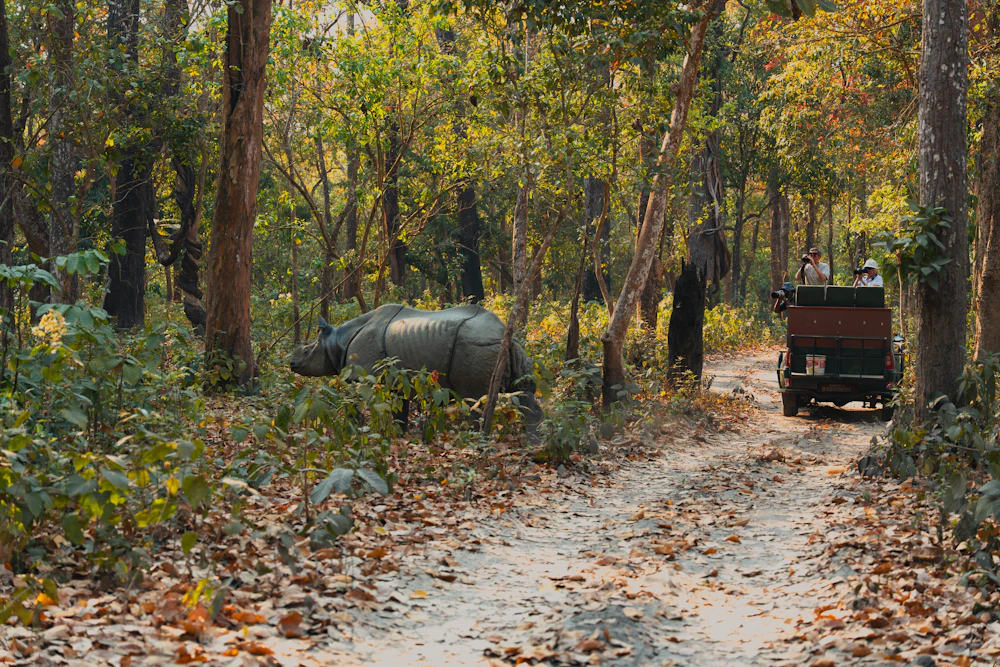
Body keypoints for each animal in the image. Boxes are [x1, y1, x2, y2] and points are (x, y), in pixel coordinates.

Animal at [290, 304, 543, 428]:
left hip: (475, 346)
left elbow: (353, 403)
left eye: (307, 351)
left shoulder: (361, 376)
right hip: (509, 348)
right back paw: (535, 446)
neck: (337, 342)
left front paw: (356, 428)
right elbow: (399, 409)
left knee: (474, 399)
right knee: (524, 394)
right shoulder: (396, 379)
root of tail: (504, 334)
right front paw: (400, 433)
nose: (291, 362)